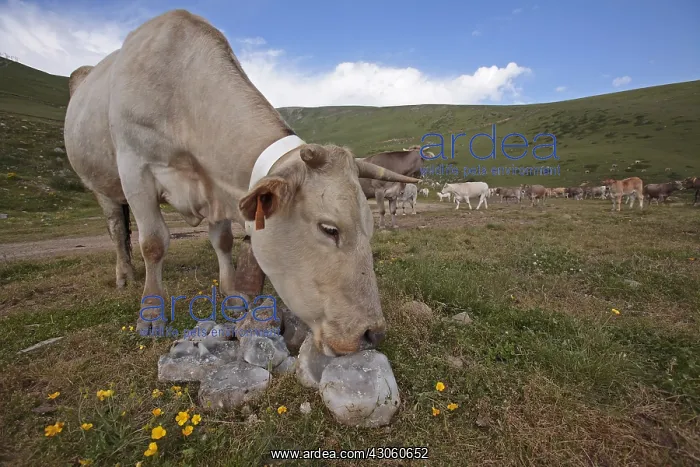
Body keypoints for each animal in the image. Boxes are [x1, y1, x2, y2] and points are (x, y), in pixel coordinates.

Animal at [63, 10, 419, 356]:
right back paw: (125, 274)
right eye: (329, 228)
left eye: (370, 228)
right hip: (103, 185)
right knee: (117, 229)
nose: (373, 333)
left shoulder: (215, 188)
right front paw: (151, 312)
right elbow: (153, 243)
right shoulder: (136, 168)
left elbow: (222, 240)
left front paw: (233, 294)